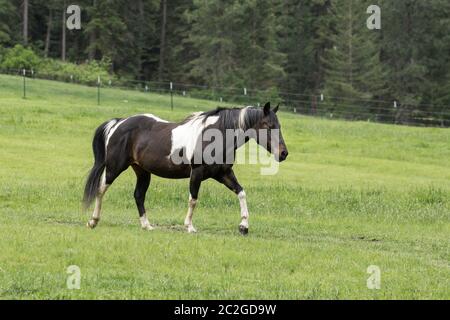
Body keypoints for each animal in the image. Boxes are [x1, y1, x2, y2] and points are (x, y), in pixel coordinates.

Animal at [82, 102, 288, 235]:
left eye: (279, 125)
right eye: (268, 125)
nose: (284, 153)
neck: (216, 137)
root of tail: (119, 122)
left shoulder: (223, 174)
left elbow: (241, 193)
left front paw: (244, 226)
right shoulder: (197, 173)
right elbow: (193, 199)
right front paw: (189, 226)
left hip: (142, 172)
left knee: (139, 195)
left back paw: (147, 226)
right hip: (115, 167)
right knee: (101, 189)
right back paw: (93, 221)